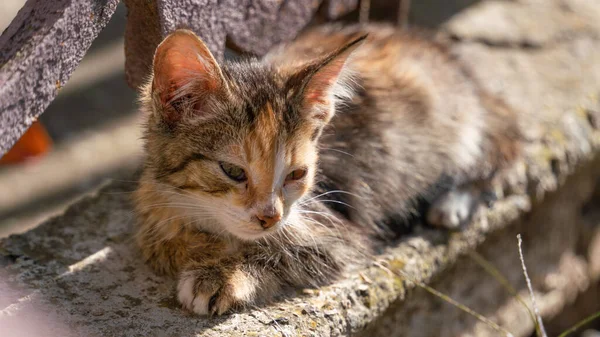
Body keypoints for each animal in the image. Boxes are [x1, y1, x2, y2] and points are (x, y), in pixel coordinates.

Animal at [134, 23, 516, 316]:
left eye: (296, 175)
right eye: (233, 171)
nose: (270, 217)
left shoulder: (343, 234)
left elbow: (290, 253)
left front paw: (220, 276)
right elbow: (163, 241)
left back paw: (452, 203)